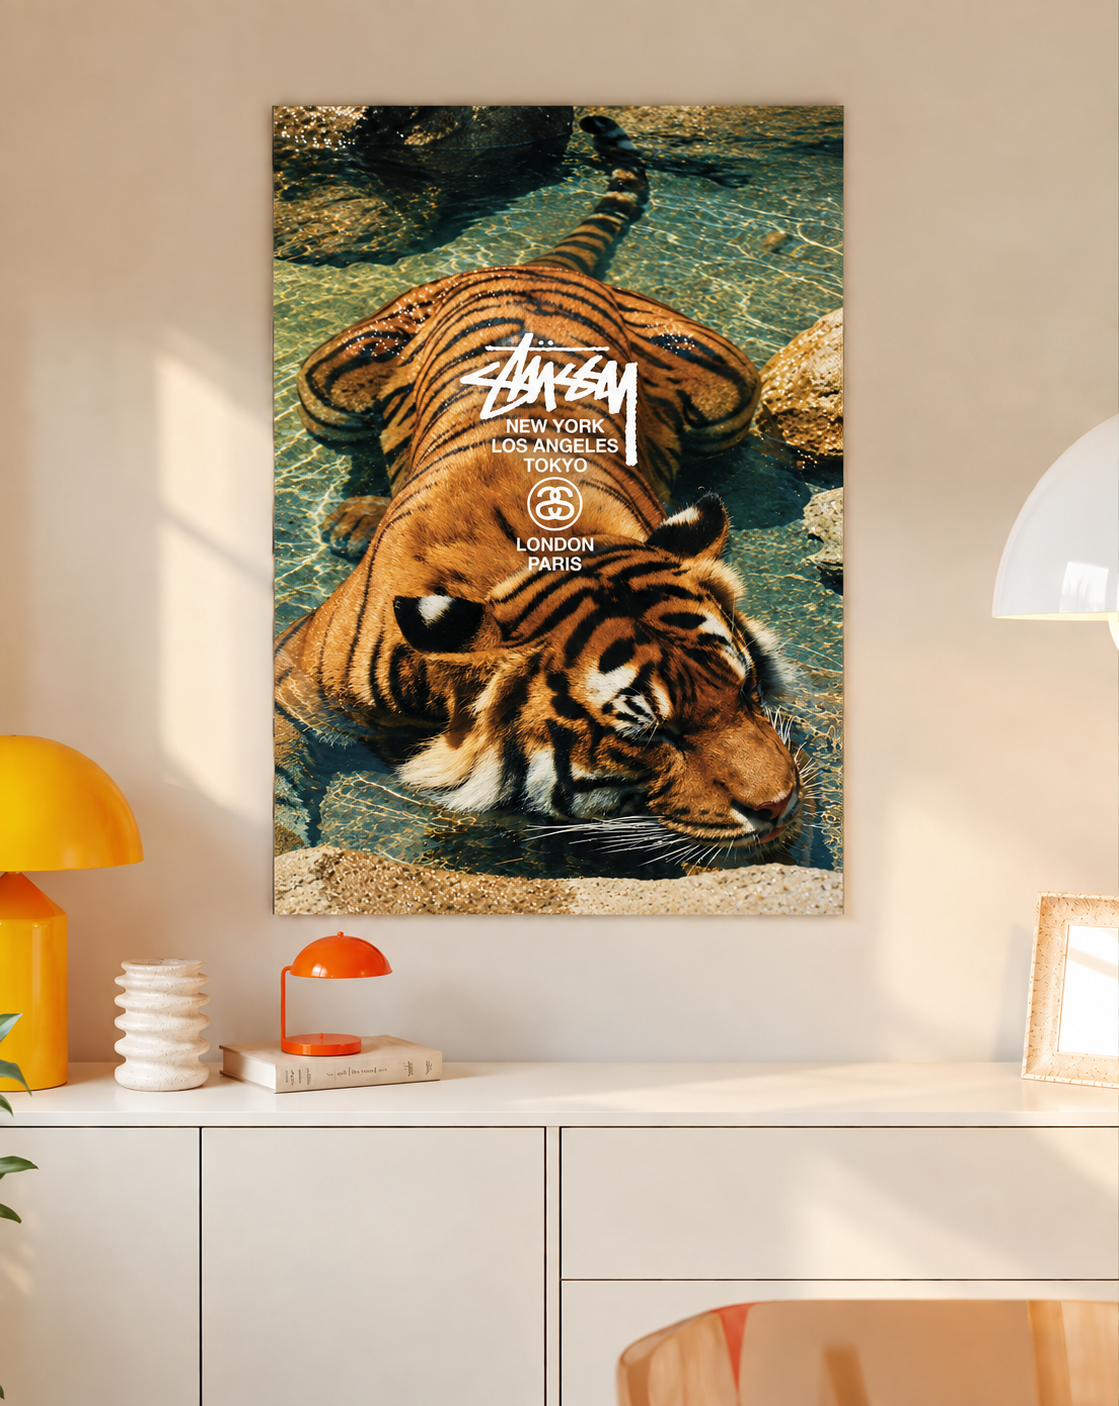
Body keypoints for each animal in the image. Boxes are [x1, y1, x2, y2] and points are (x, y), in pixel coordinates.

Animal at [276, 114, 803, 860]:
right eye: (648, 732)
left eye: (749, 686)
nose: (785, 804)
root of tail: (542, 267)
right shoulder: (292, 683)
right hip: (327, 384)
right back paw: (353, 517)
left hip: (730, 393)